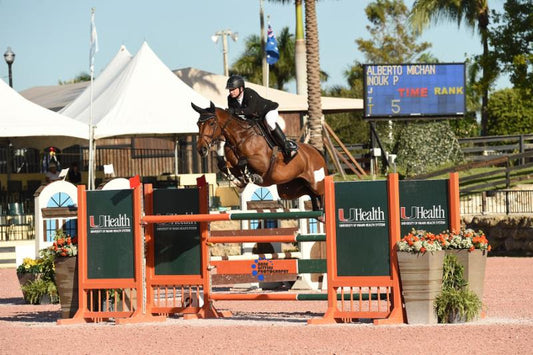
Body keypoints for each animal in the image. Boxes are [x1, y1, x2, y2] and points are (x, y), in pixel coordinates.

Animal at [189, 101, 326, 210]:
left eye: (212, 123)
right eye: (198, 124)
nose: (201, 149)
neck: (240, 137)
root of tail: (317, 151)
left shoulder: (263, 163)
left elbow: (243, 161)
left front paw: (252, 176)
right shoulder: (233, 165)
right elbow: (224, 166)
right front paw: (238, 180)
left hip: (316, 184)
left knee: (320, 194)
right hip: (290, 189)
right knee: (311, 194)